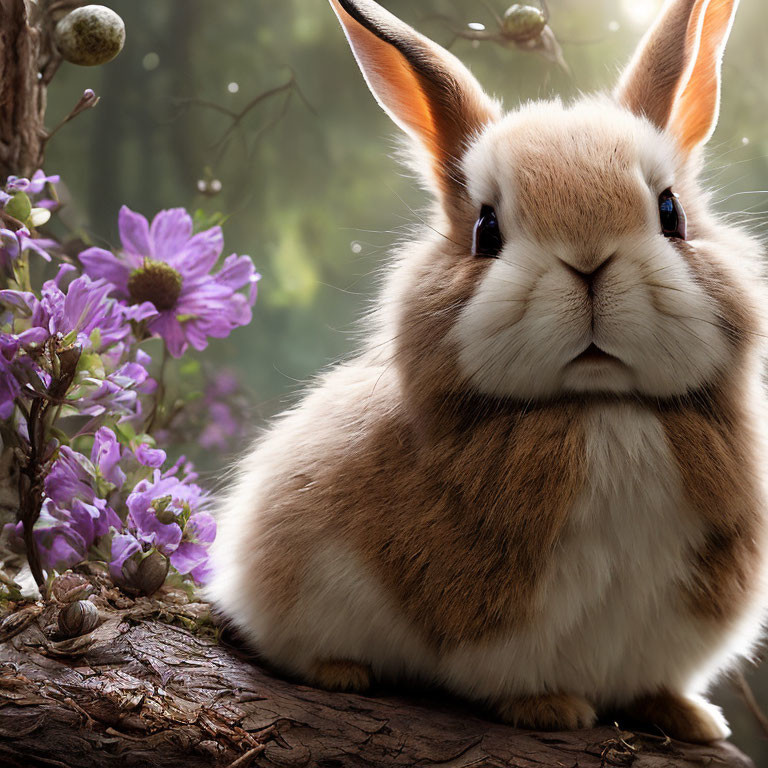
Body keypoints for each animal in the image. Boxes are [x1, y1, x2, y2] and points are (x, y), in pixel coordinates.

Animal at [208, 0, 768, 744]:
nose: (588, 262)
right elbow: (508, 676)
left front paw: (690, 716)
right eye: (486, 231)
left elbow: (657, 678)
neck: (603, 408)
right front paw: (550, 708)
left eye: (671, 213)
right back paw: (342, 671)